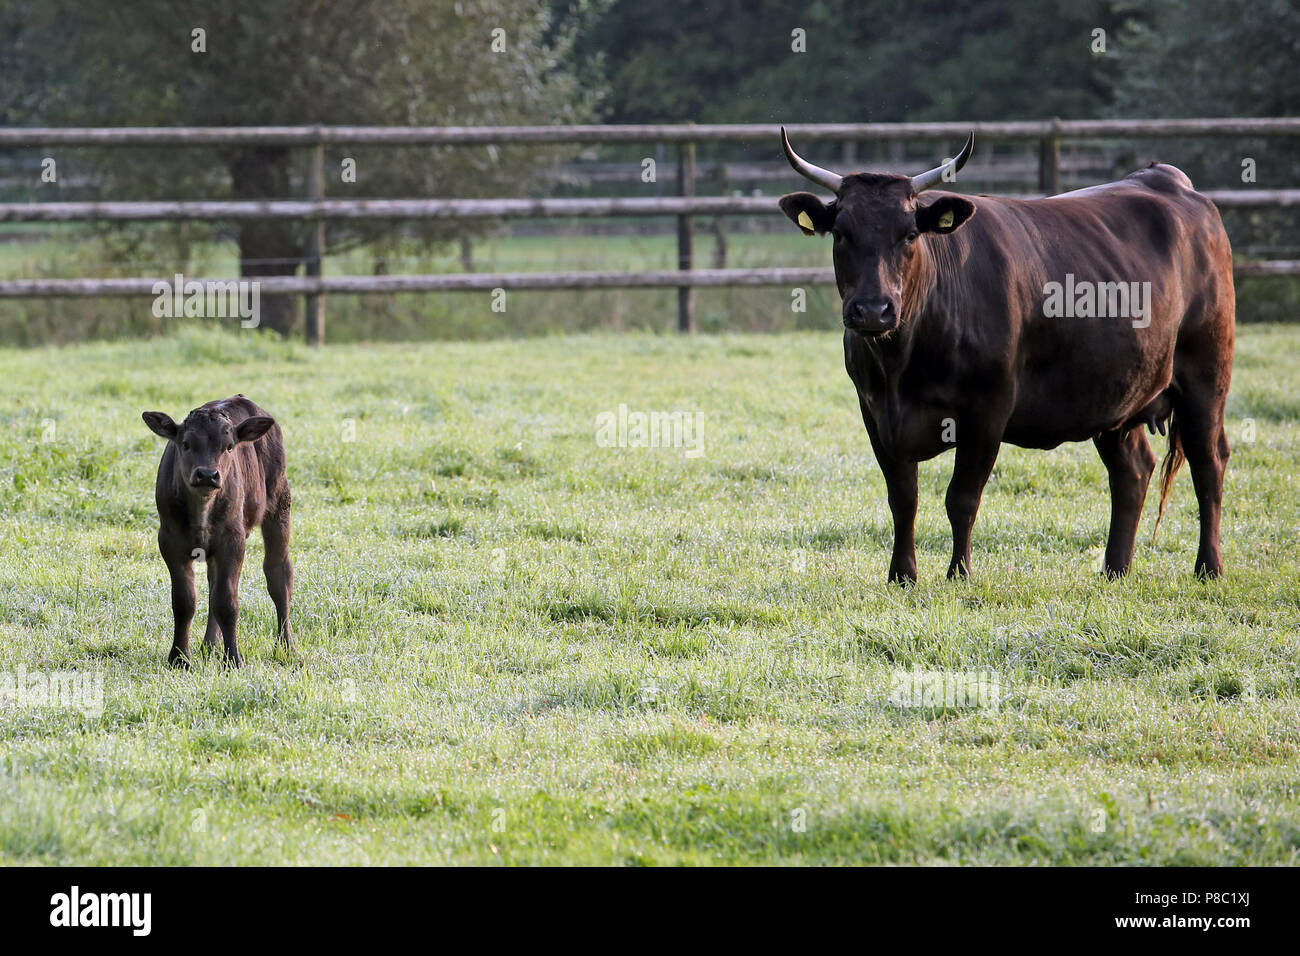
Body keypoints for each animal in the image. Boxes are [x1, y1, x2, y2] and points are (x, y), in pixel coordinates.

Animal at [774, 128, 1232, 582]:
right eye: (842, 233)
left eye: (909, 234)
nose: (873, 310)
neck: (900, 366)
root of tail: (1167, 180)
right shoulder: (874, 412)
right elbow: (903, 498)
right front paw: (902, 575)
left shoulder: (987, 409)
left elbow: (961, 498)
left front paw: (959, 574)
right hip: (1117, 396)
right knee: (1133, 472)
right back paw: (1115, 570)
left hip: (1207, 375)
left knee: (1208, 464)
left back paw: (1208, 566)